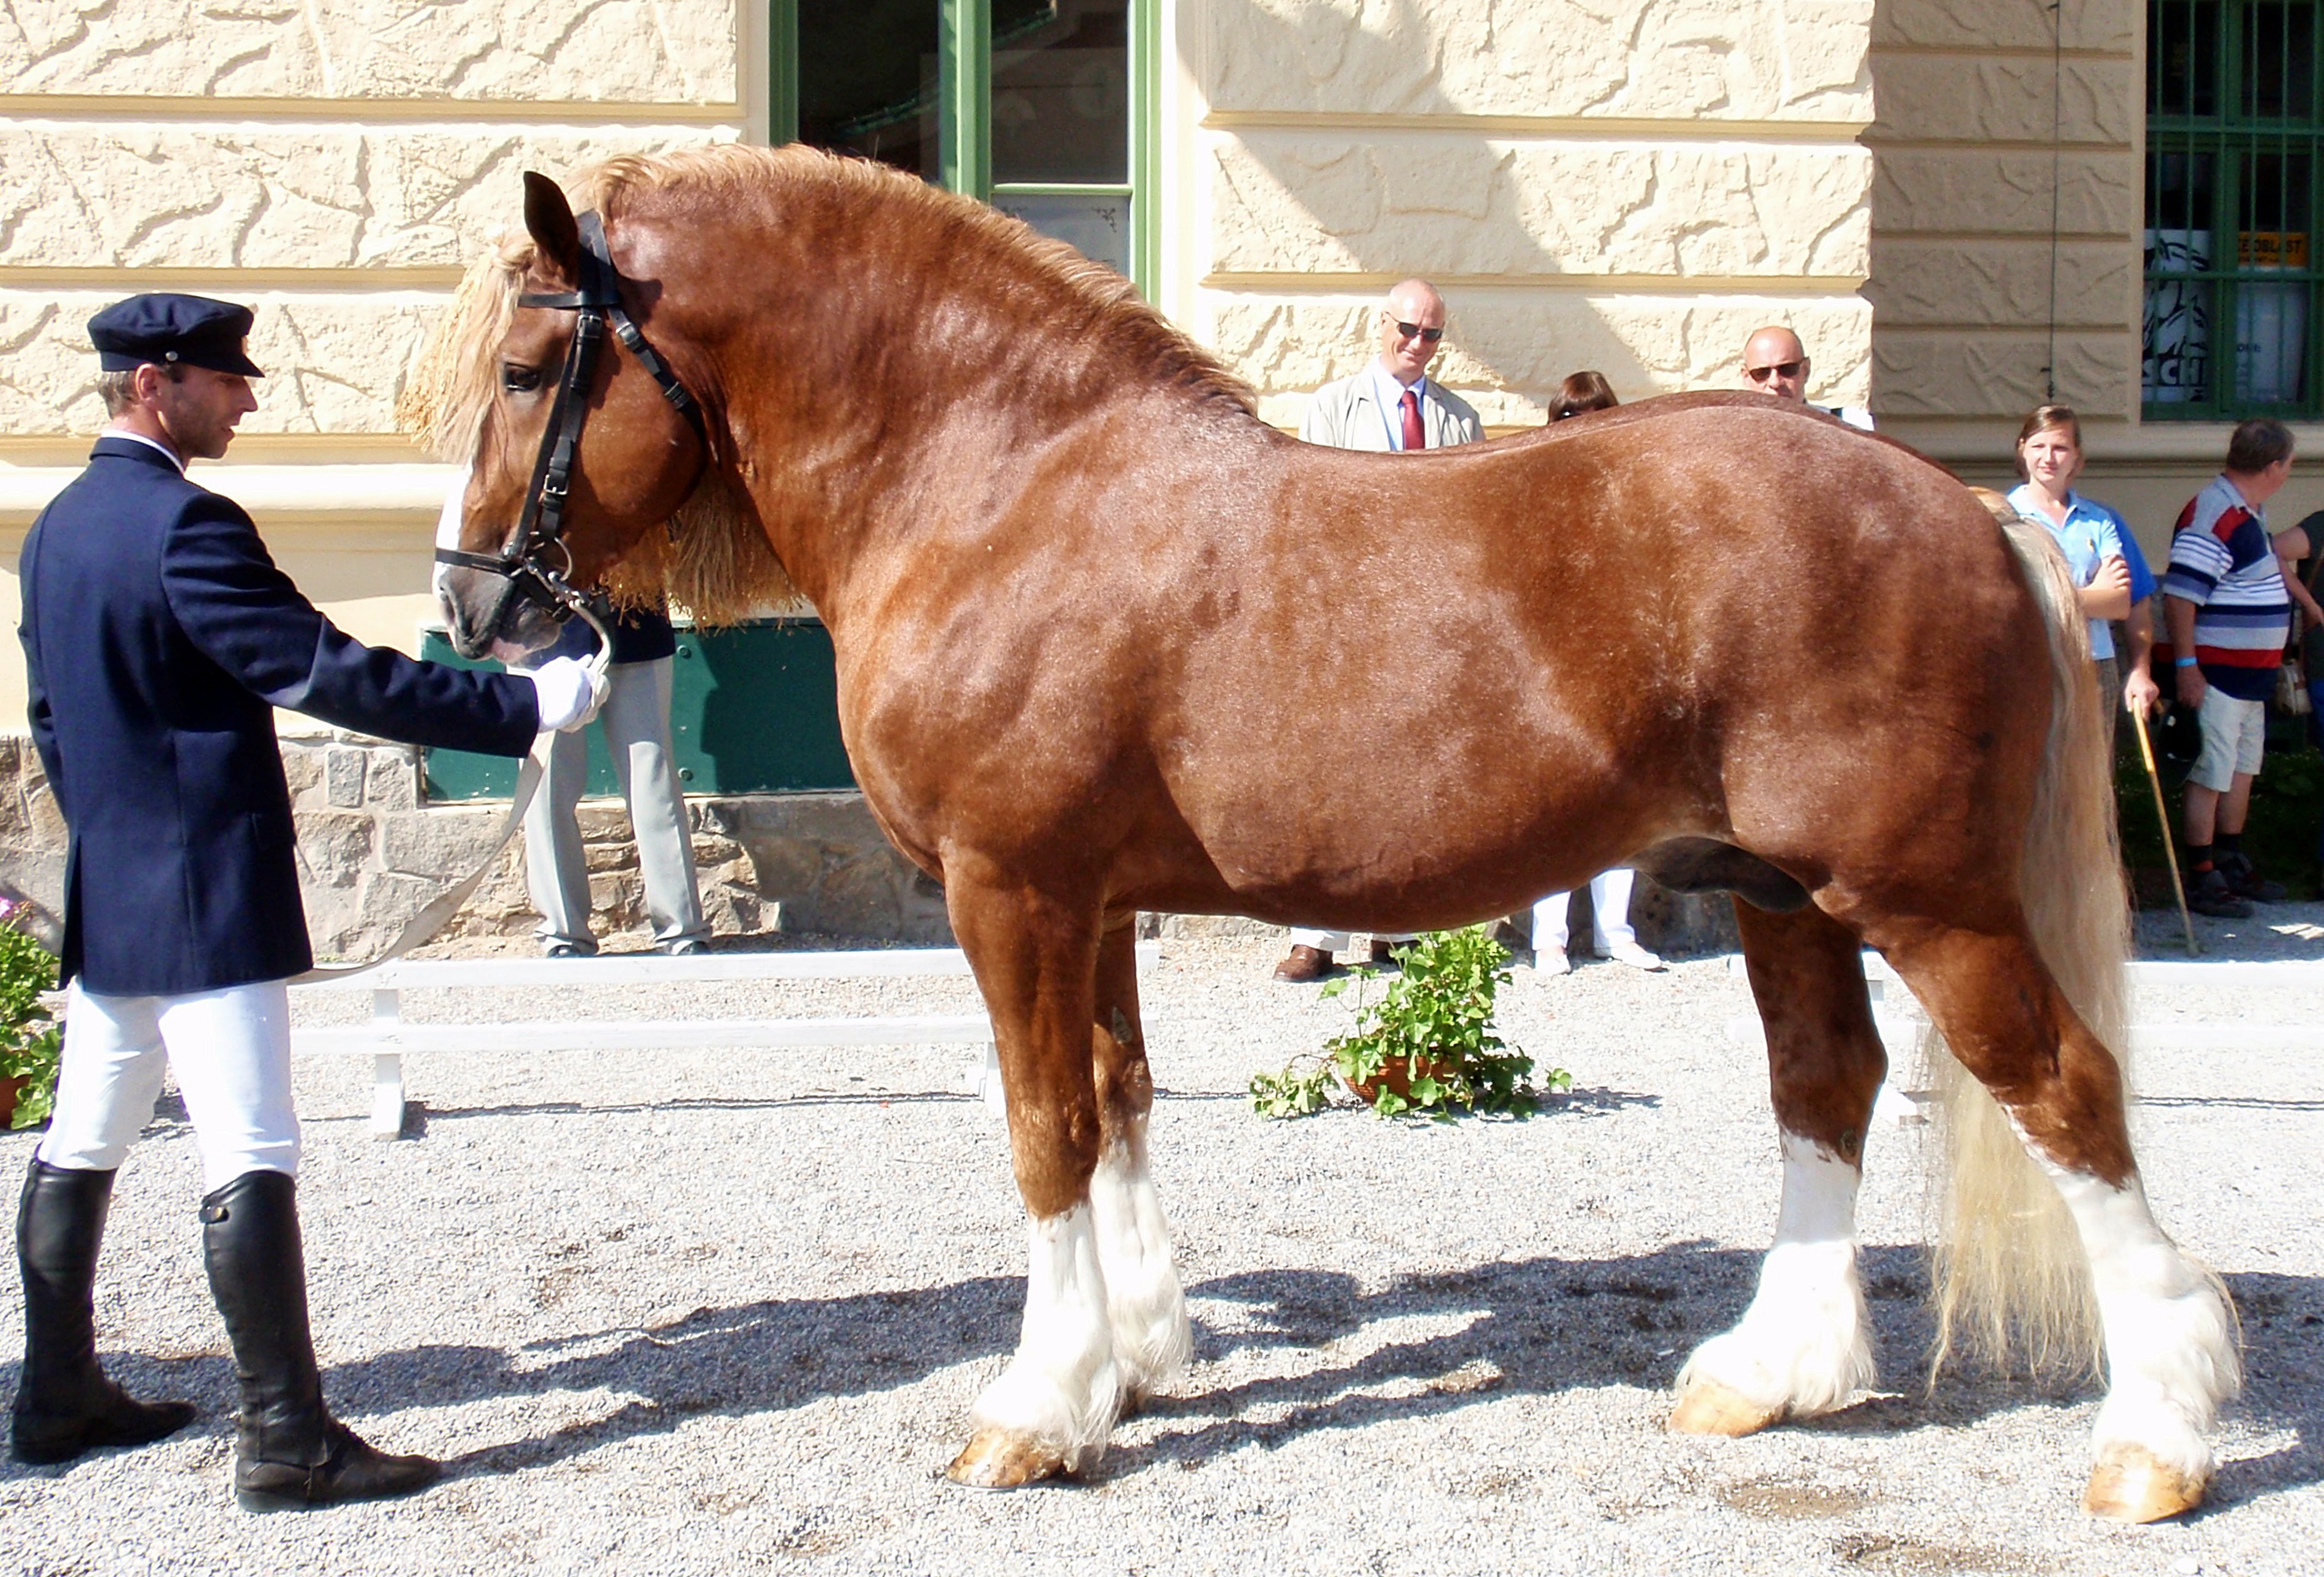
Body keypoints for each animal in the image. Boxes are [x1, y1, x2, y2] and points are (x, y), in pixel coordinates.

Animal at [408, 145, 2240, 1514]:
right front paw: (1137, 1359)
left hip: (1923, 898)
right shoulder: (1092, 901)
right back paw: (1768, 1375)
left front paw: (1034, 1407)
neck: (999, 487)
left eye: (523, 367)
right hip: (1780, 892)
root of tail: (1970, 508)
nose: (474, 606)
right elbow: (1118, 1100)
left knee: (2065, 1091)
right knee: (1825, 1086)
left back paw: (2154, 1437)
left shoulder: (1012, 892)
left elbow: (1042, 1129)